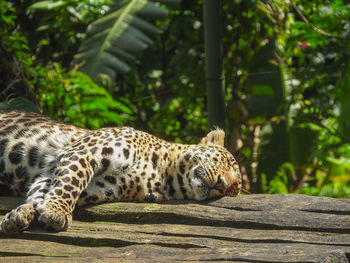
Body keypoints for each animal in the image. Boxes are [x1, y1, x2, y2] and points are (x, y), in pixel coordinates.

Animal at [0, 110, 241, 234]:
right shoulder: (86, 151)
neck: (162, 176)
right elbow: (71, 182)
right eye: (228, 162)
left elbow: (44, 192)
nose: (222, 184)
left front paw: (19, 216)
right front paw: (56, 212)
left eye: (233, 190)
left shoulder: (97, 186)